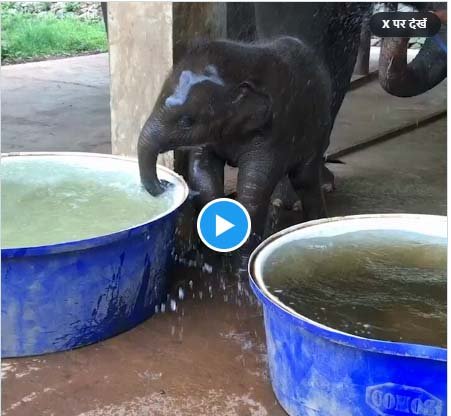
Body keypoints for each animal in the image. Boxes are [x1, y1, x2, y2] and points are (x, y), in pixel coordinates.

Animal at [138, 36, 332, 247]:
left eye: (187, 121)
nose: (165, 184)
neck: (244, 60)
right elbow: (202, 171)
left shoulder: (274, 133)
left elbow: (253, 189)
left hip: (318, 130)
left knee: (304, 179)